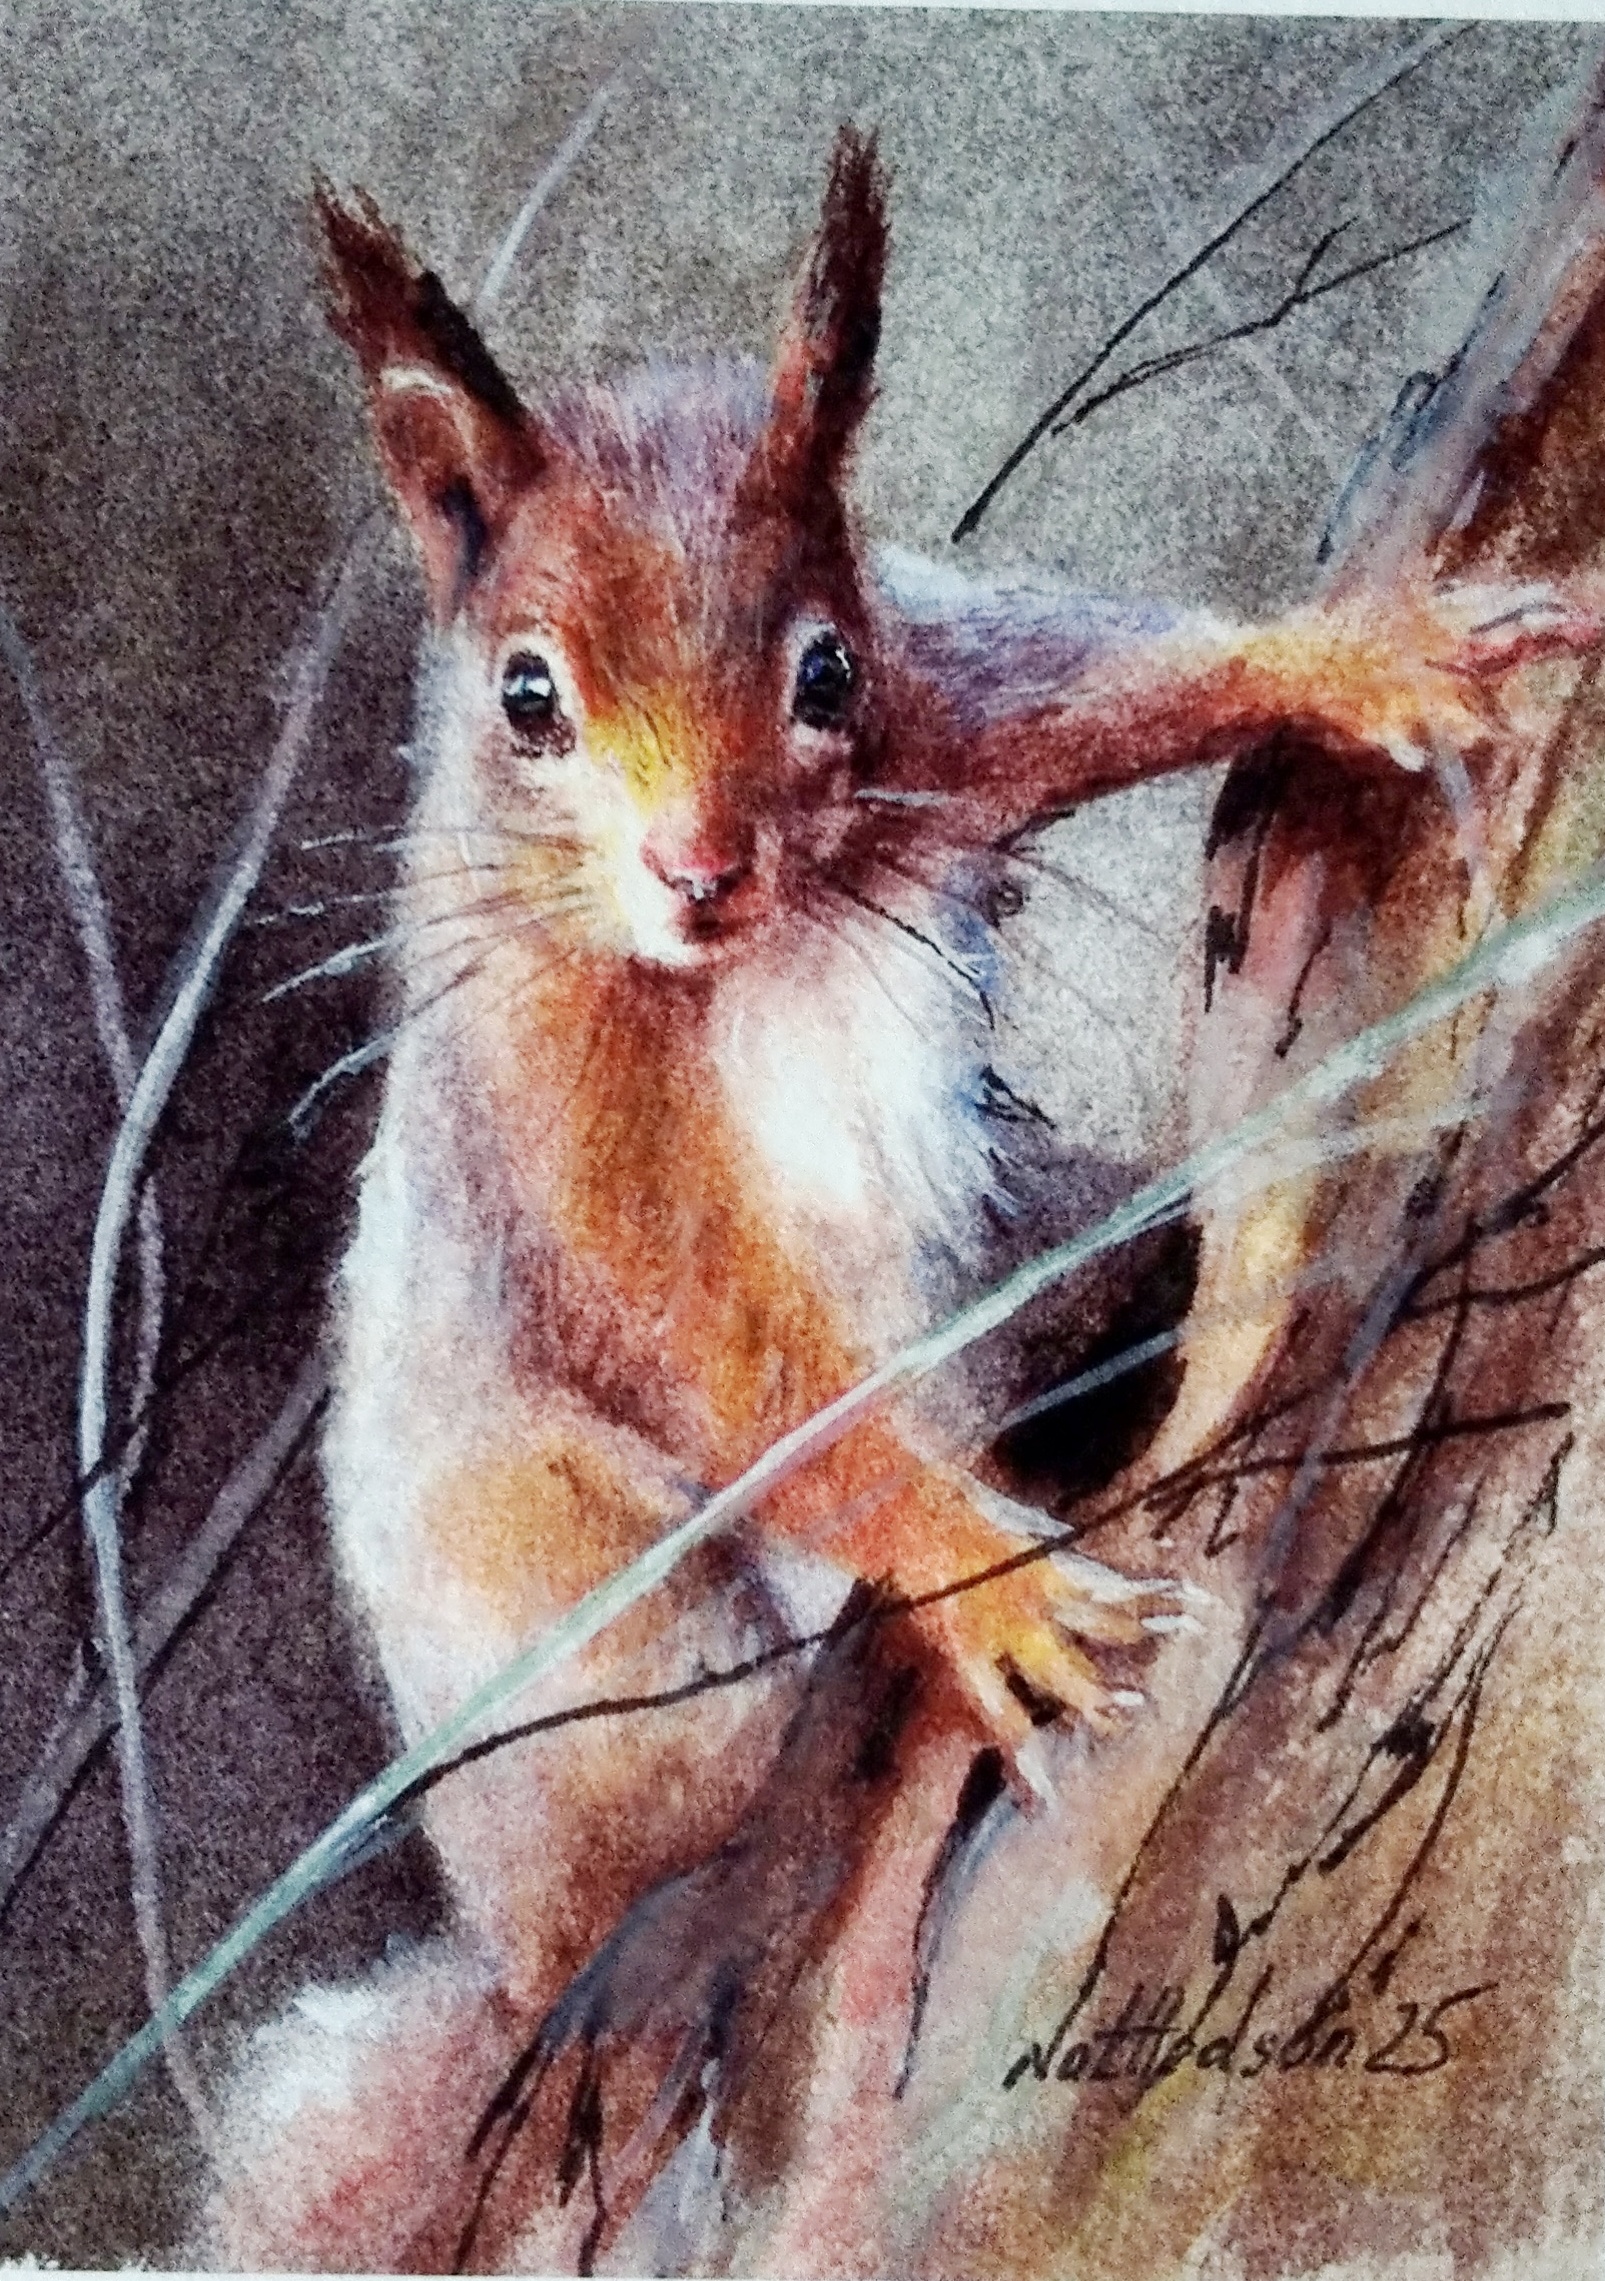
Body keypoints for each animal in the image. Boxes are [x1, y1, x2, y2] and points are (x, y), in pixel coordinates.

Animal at [199, 127, 1599, 2272]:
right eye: (524, 698)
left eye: (825, 667)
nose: (697, 870)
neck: (757, 947)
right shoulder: (547, 1096)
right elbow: (736, 1360)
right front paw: (986, 1579)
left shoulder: (956, 699)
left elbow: (1110, 675)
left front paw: (1359, 653)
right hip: (595, 1631)